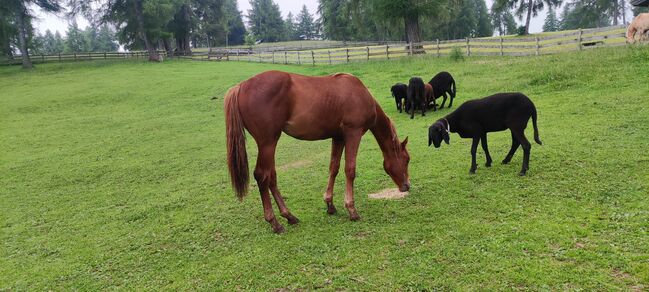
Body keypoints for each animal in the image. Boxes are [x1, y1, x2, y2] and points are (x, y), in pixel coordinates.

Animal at [225, 70, 410, 233]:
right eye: (407, 160)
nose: (407, 186)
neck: (359, 93)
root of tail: (240, 86)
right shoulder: (353, 134)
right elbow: (350, 170)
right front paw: (351, 210)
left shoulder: (338, 137)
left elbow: (334, 168)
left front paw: (330, 204)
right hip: (268, 143)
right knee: (262, 176)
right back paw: (275, 223)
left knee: (271, 176)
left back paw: (289, 216)